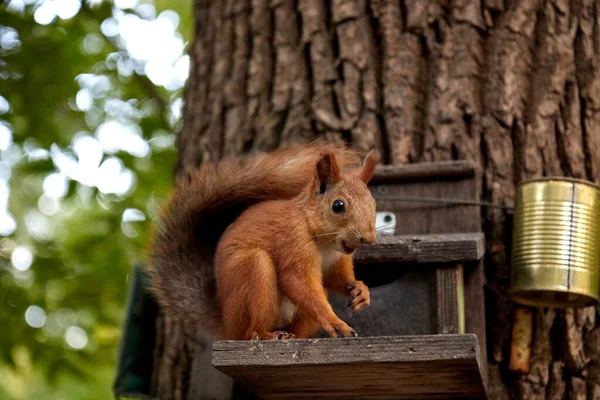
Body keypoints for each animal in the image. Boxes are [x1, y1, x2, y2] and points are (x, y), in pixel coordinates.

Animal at [148, 142, 378, 340]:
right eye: (338, 206)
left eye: (374, 203)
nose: (369, 239)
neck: (325, 242)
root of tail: (226, 322)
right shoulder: (292, 241)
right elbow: (297, 281)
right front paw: (335, 322)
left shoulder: (336, 260)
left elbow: (336, 277)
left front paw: (360, 290)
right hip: (252, 274)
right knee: (250, 331)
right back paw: (267, 335)